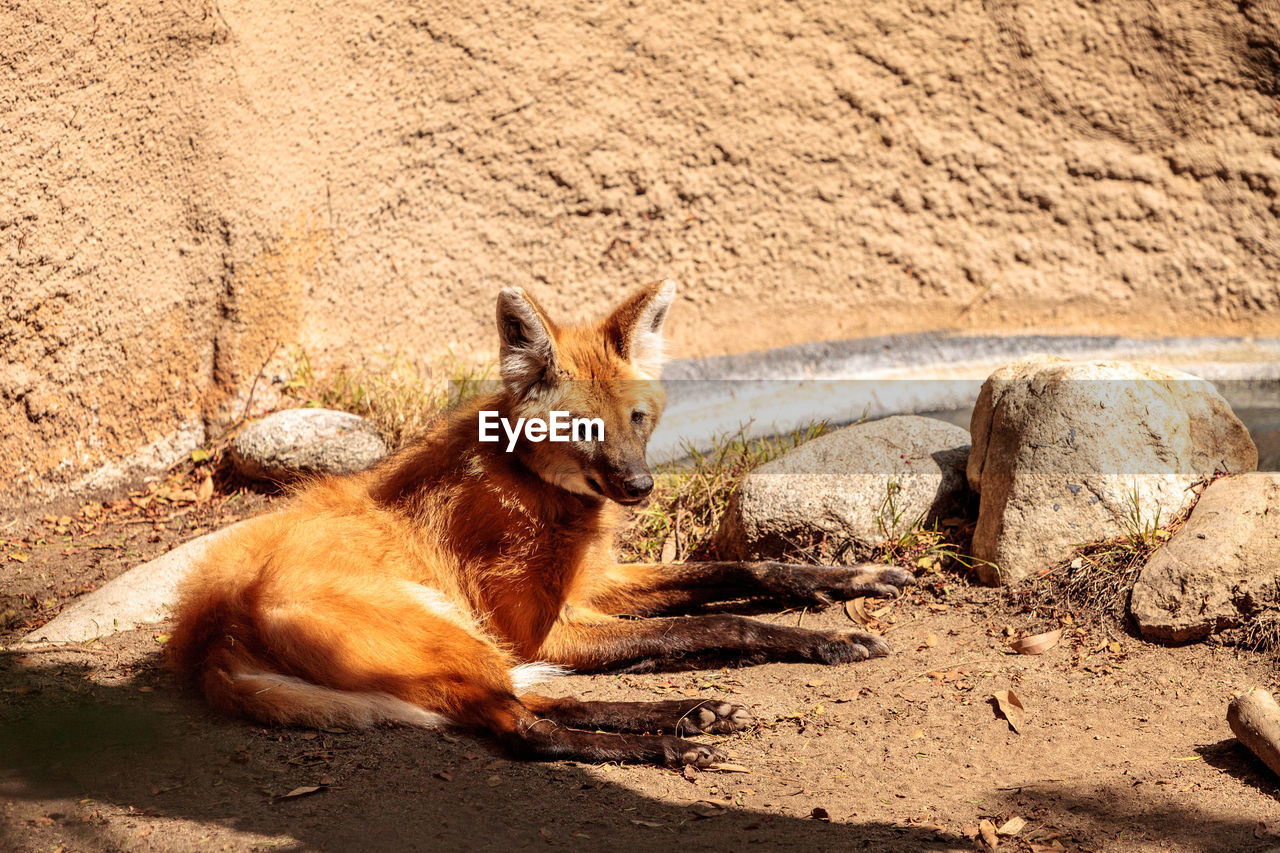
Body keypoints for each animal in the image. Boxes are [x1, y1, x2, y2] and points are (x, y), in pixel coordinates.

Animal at [170, 279, 911, 763]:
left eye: (636, 419)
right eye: (585, 429)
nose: (640, 486)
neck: (532, 487)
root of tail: (212, 628)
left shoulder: (592, 587)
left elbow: (742, 570)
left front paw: (850, 583)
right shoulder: (543, 629)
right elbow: (715, 622)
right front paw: (830, 639)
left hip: (460, 646)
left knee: (537, 701)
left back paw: (695, 710)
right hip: (456, 636)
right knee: (524, 727)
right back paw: (674, 738)